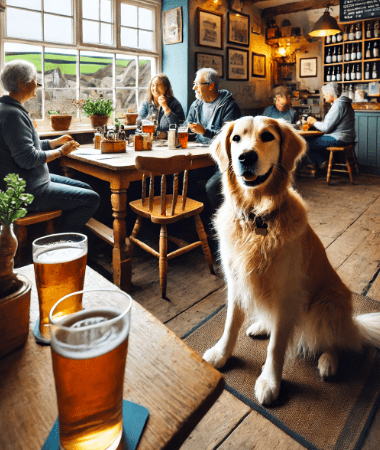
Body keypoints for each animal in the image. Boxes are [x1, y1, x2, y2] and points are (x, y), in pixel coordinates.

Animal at [203, 116, 380, 404]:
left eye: (267, 136)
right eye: (236, 138)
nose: (245, 156)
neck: (257, 217)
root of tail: (352, 325)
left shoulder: (287, 293)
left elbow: (276, 347)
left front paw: (269, 382)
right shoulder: (237, 281)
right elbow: (230, 325)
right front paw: (221, 353)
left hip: (328, 302)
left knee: (334, 341)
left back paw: (328, 362)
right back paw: (261, 326)